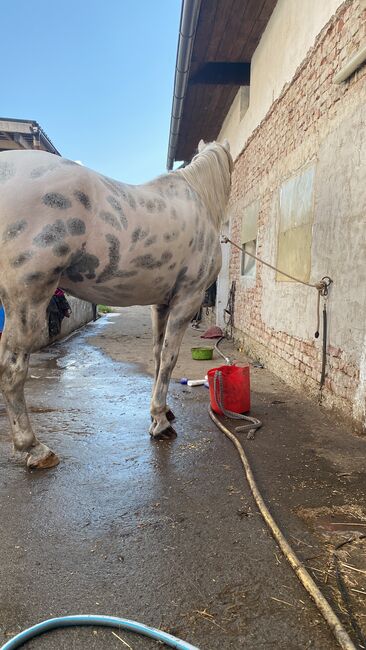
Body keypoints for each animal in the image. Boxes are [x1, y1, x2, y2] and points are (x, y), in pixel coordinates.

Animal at [0, 139, 233, 468]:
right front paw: (161, 423)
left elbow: (158, 356)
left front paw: (162, 411)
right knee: (11, 371)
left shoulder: (161, 304)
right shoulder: (188, 299)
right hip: (27, 298)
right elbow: (170, 357)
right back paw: (34, 448)